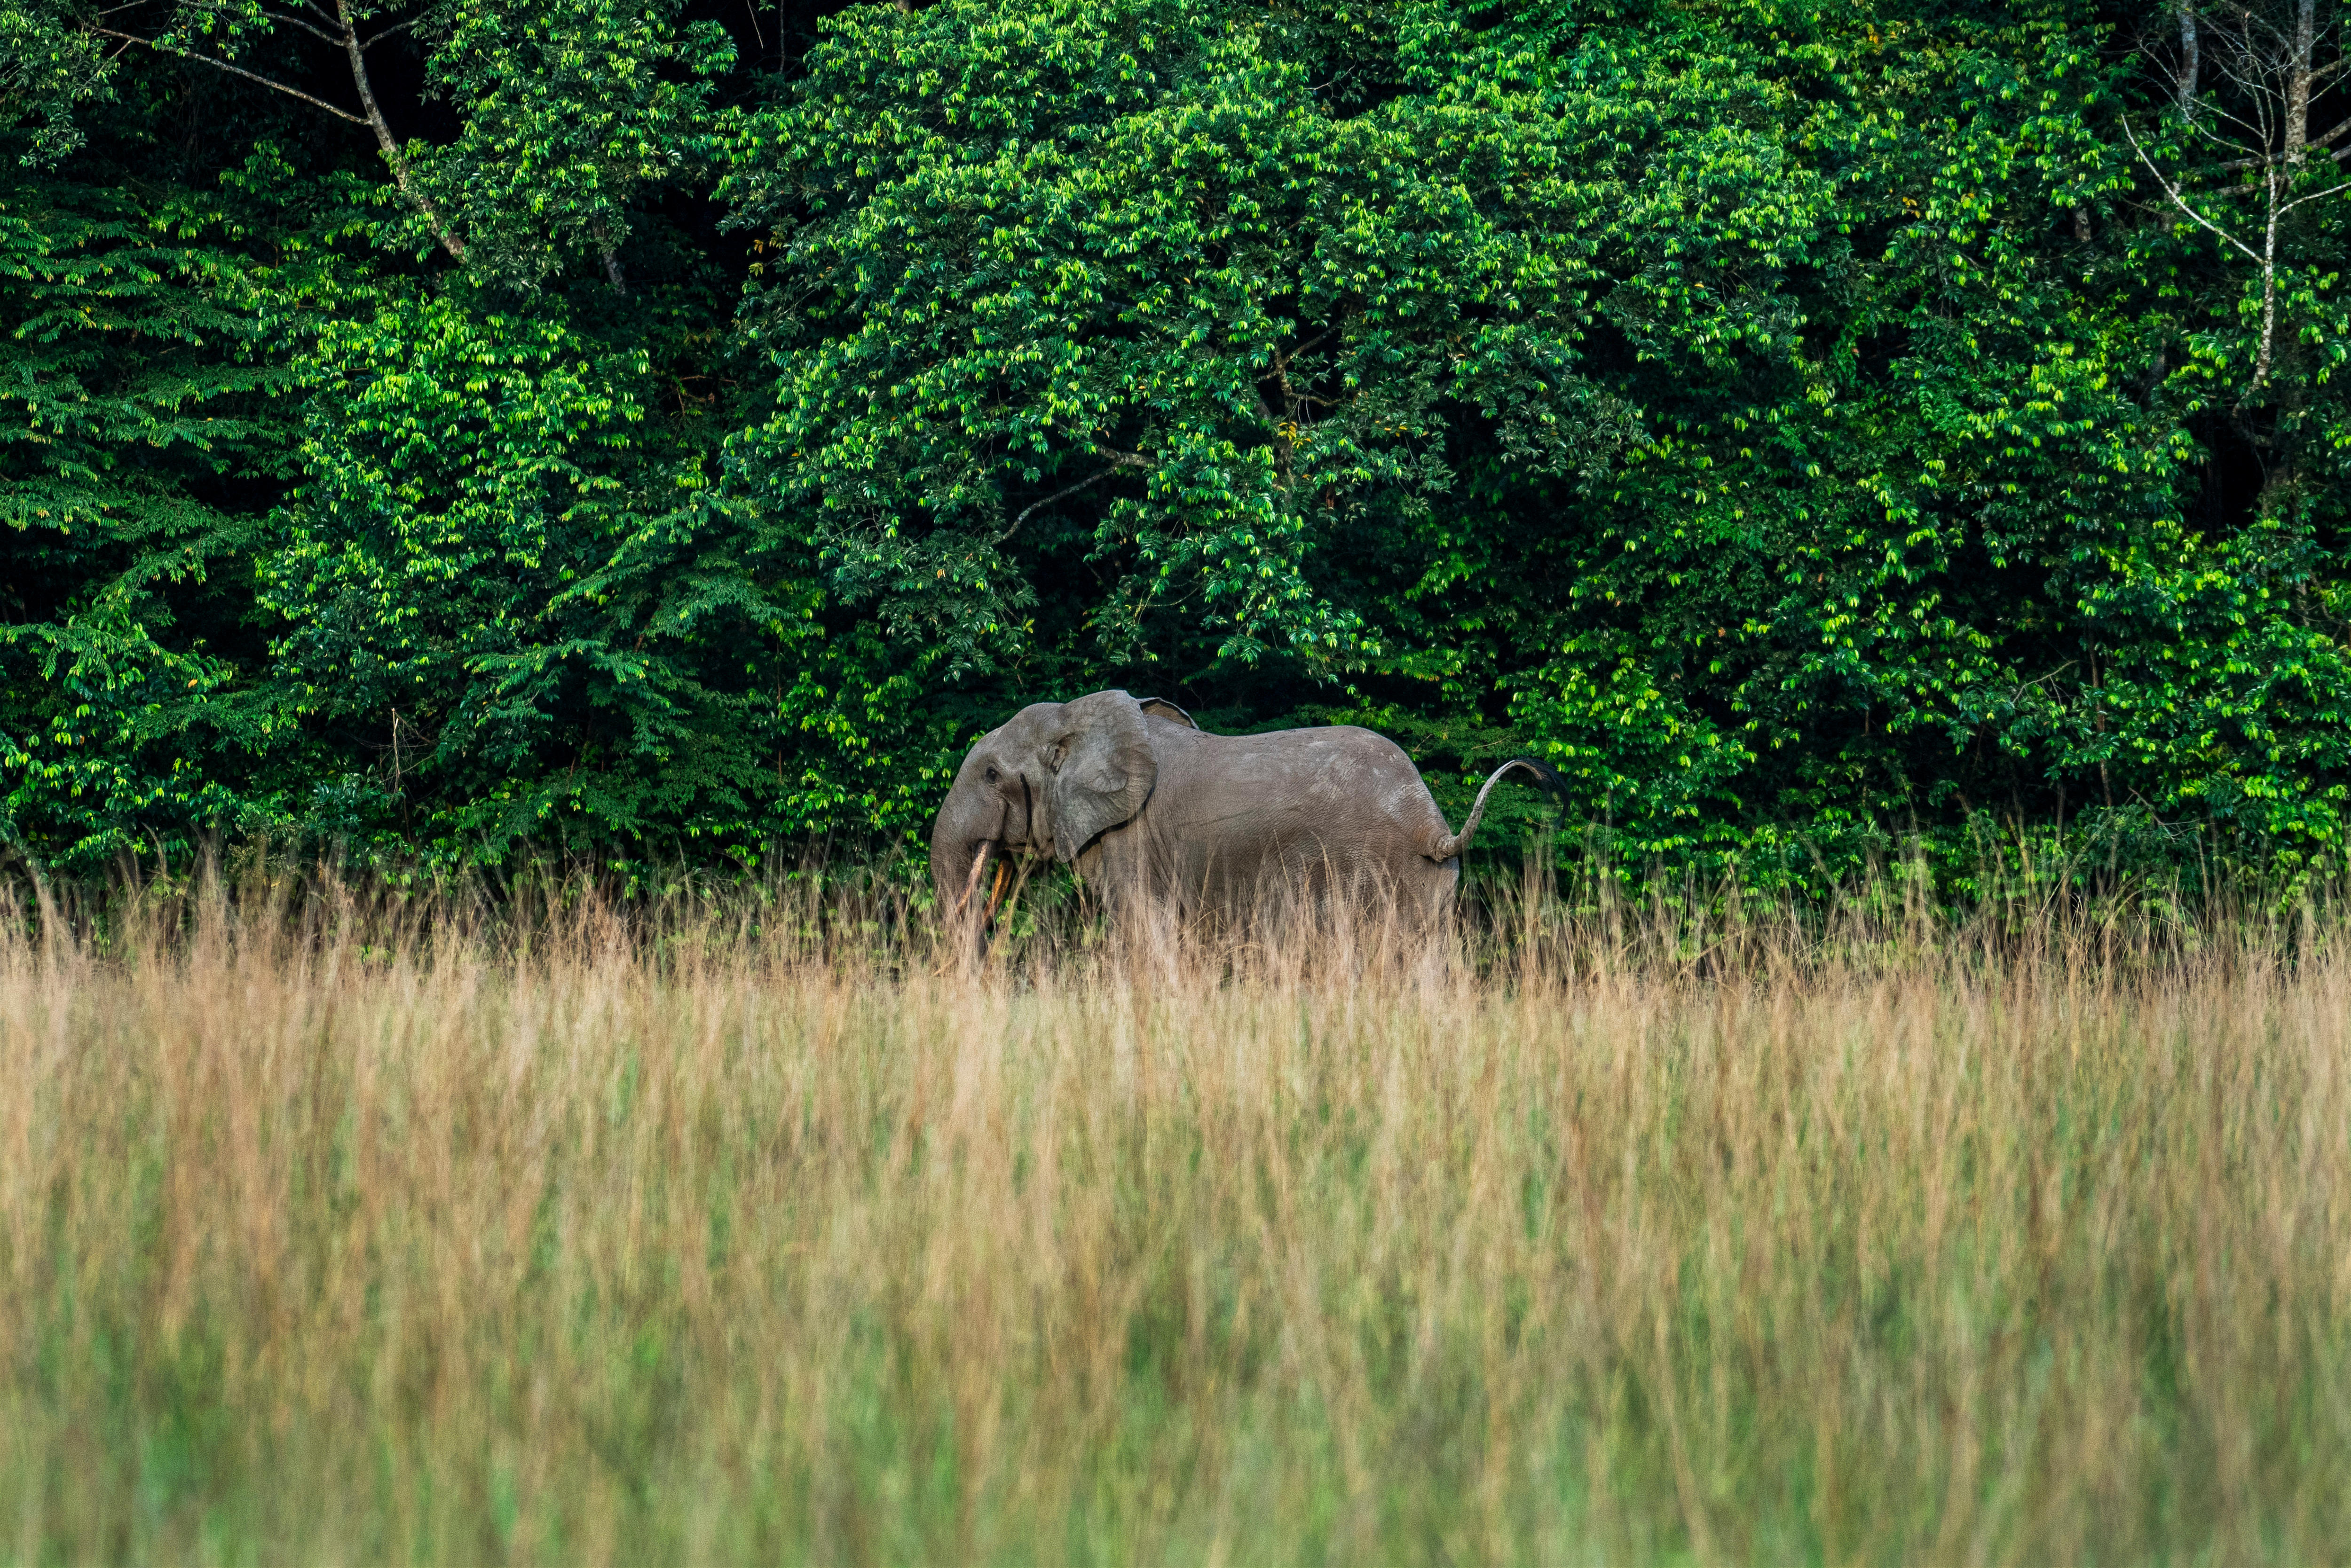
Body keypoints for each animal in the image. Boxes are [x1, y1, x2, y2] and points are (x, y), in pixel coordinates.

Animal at [928, 688, 1563, 937]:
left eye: (990, 775)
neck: (1077, 715)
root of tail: (1433, 826)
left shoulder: (1134, 841)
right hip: (1429, 887)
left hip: (1371, 871)